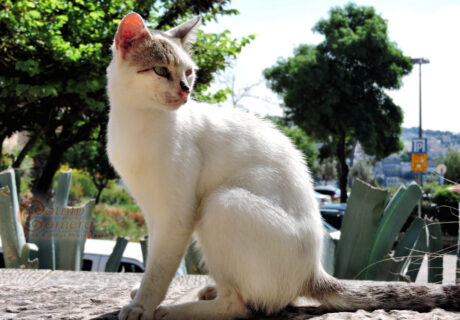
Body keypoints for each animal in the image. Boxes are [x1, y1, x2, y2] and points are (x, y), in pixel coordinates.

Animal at [106, 12, 458, 320]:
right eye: (160, 71)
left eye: (189, 72)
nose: (185, 90)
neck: (136, 123)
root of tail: (314, 272)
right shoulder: (153, 212)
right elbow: (154, 260)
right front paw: (141, 296)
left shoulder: (175, 216)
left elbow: (159, 270)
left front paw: (143, 306)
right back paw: (208, 290)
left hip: (221, 203)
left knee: (239, 306)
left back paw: (177, 310)